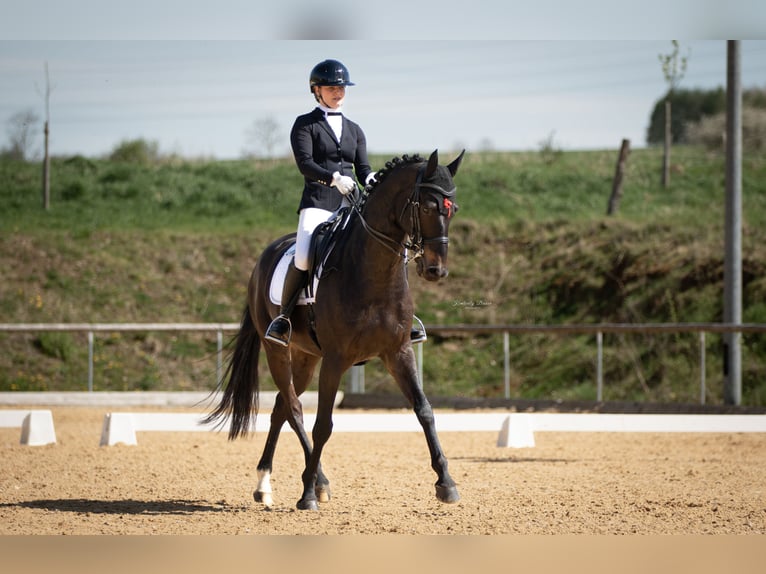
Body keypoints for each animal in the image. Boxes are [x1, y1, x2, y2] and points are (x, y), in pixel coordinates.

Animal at [204, 148, 464, 512]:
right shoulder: (336, 359)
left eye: (453, 209)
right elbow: (323, 425)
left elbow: (424, 411)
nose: (435, 270)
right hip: (278, 350)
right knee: (295, 408)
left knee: (282, 407)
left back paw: (269, 485)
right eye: (427, 206)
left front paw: (446, 484)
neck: (374, 274)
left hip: (305, 357)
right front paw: (306, 496)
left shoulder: (398, 352)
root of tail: (264, 257)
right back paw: (309, 483)